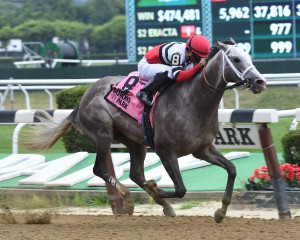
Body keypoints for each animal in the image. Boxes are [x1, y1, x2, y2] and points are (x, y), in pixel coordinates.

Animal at [24, 41, 266, 223]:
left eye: (249, 57)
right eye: (236, 59)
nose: (260, 81)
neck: (193, 102)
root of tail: (85, 96)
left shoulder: (202, 149)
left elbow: (232, 169)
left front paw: (220, 212)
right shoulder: (165, 151)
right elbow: (180, 189)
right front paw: (155, 188)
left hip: (135, 142)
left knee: (135, 174)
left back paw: (161, 204)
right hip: (103, 134)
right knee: (99, 168)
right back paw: (128, 198)